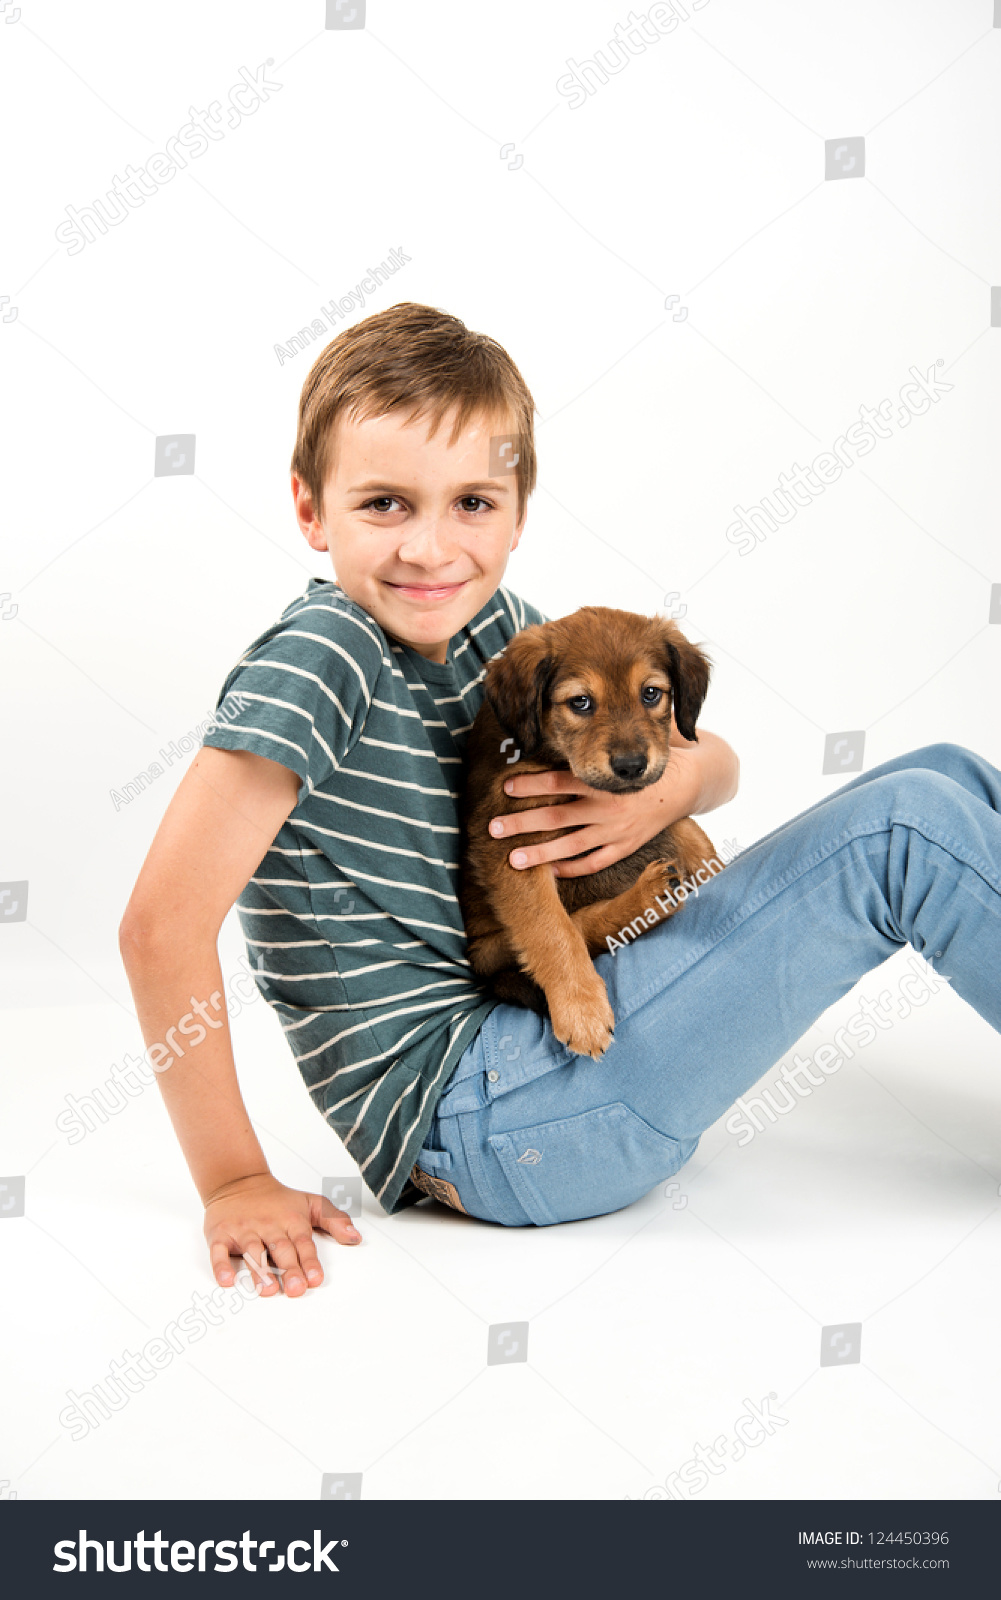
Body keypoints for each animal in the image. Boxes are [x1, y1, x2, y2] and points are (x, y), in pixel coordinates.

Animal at [457, 604, 719, 1056]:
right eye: (580, 702)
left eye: (651, 694)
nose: (631, 766)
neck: (555, 758)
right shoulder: (508, 842)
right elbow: (552, 930)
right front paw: (581, 1012)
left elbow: (698, 841)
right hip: (487, 948)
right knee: (571, 929)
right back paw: (646, 900)